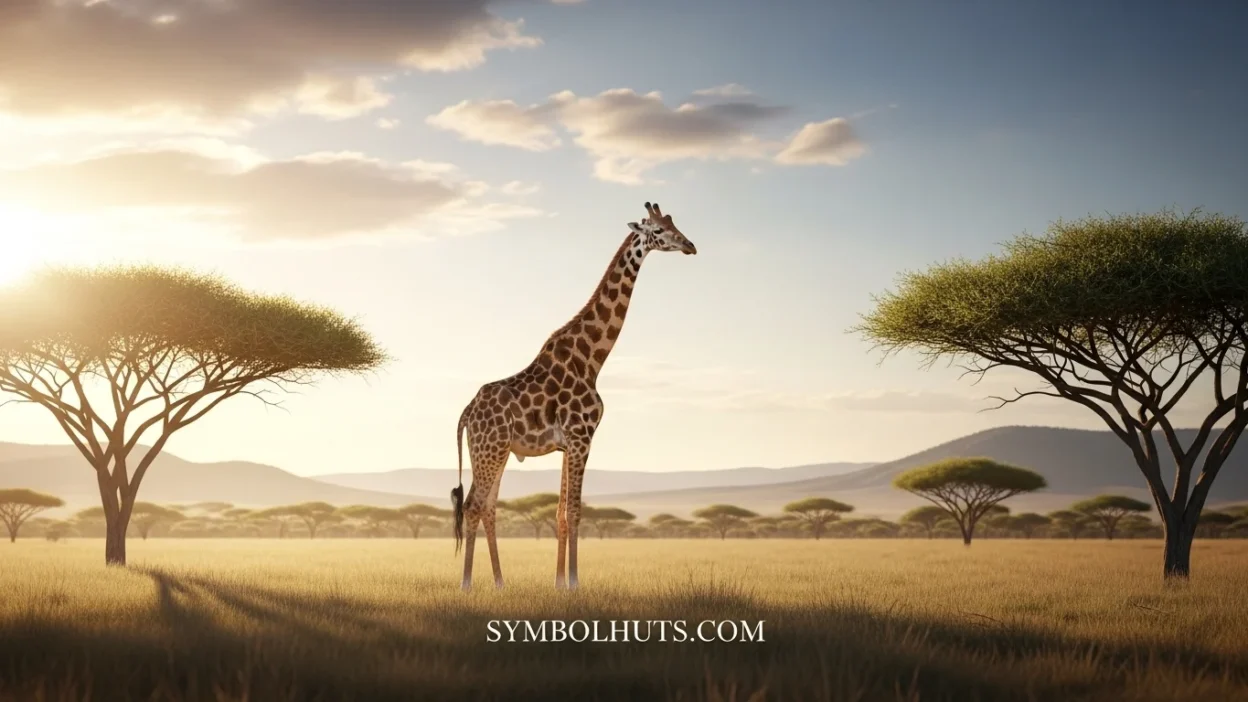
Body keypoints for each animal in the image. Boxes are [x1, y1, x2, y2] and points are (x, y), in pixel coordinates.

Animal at [451, 202, 696, 591]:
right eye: (657, 231)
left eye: (675, 225)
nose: (690, 245)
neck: (592, 360)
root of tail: (466, 413)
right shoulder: (583, 437)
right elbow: (575, 510)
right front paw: (576, 583)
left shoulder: (567, 445)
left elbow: (560, 513)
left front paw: (559, 584)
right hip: (489, 450)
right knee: (473, 505)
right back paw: (466, 584)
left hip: (494, 451)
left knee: (488, 506)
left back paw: (501, 583)